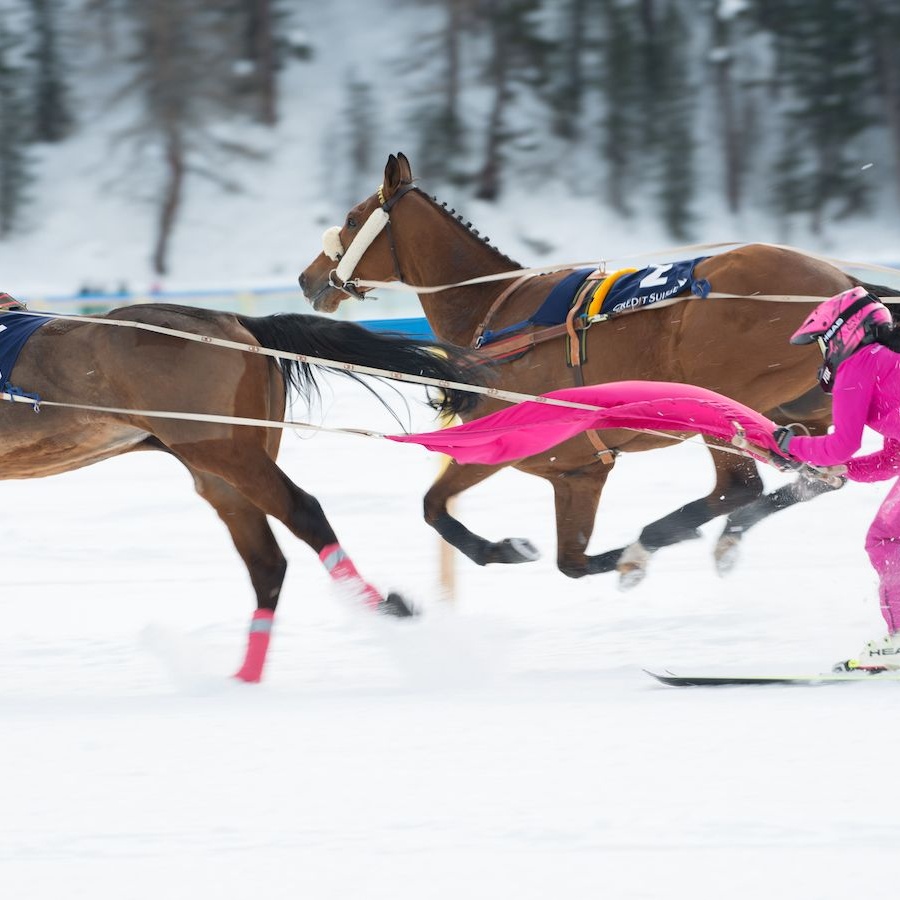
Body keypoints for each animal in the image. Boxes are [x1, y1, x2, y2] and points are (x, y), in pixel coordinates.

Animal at [0, 302, 486, 684]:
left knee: (303, 512)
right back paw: (243, 677)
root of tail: (236, 322)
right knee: (267, 562)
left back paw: (385, 608)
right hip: (219, 472)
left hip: (227, 452)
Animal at [300, 155, 892, 588]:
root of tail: (842, 281)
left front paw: (510, 549)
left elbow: (435, 509)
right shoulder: (576, 472)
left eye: (351, 220)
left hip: (721, 398)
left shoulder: (522, 444)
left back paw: (660, 543)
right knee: (816, 476)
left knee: (739, 487)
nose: (309, 279)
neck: (495, 315)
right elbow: (569, 560)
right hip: (801, 407)